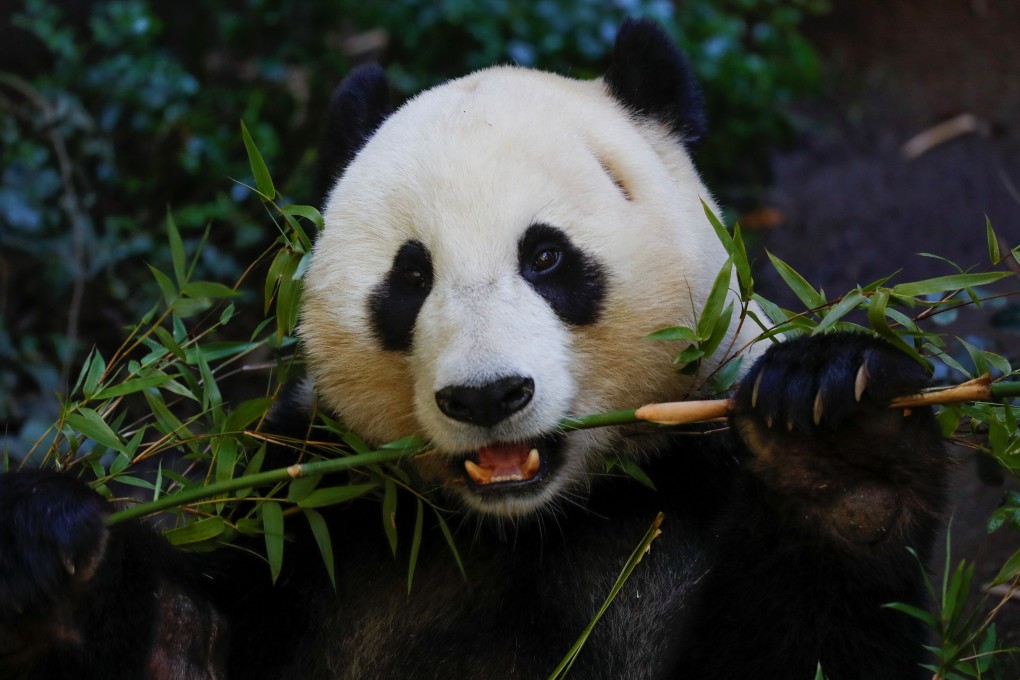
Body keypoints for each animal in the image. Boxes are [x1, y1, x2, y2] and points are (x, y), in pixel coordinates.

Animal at [0, 18, 947, 680]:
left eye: (548, 257)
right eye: (411, 276)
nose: (487, 397)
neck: (521, 527)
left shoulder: (689, 477)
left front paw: (835, 441)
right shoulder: (317, 507)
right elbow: (185, 642)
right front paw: (47, 550)